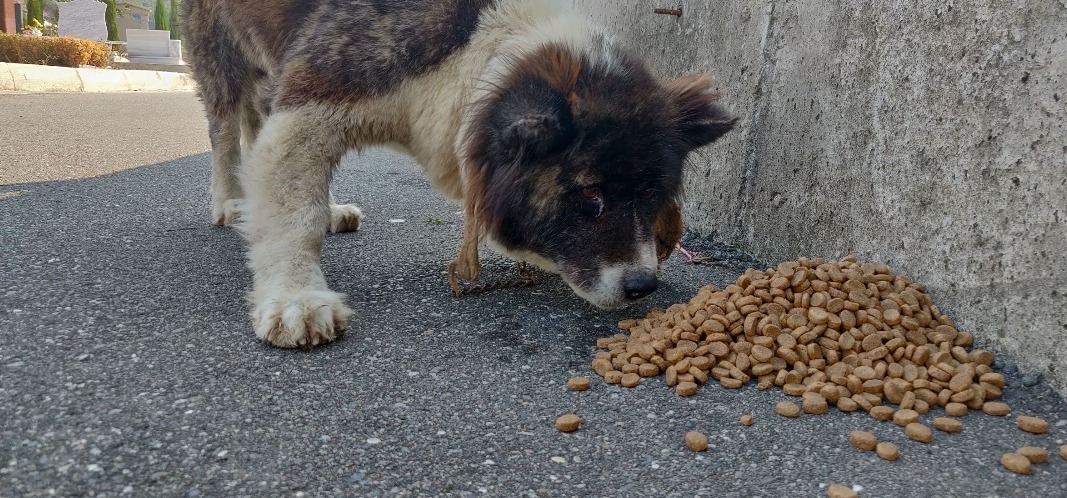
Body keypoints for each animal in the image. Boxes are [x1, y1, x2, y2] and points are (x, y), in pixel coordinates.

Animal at [182, 0, 737, 348]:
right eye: (591, 197)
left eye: (653, 198)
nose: (644, 285)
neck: (474, 49)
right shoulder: (316, 95)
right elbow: (293, 209)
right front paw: (294, 297)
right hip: (221, 53)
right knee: (225, 128)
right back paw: (230, 201)